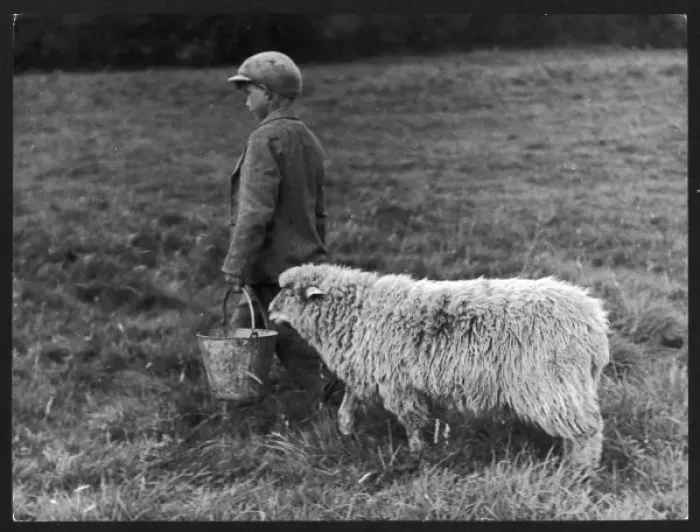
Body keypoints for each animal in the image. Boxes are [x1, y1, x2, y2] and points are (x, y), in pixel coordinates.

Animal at [268, 263, 610, 470]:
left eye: (288, 292)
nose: (269, 312)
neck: (358, 311)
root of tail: (593, 318)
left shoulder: (397, 382)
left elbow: (412, 421)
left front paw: (418, 454)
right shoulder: (366, 370)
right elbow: (350, 401)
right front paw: (345, 430)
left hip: (552, 384)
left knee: (587, 430)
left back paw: (580, 471)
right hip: (567, 384)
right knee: (579, 429)